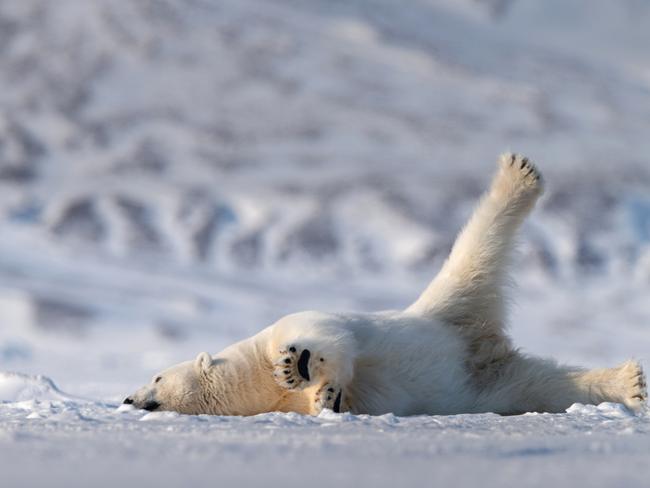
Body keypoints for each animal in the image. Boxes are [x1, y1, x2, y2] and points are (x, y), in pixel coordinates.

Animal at [124, 155, 644, 416]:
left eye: (157, 377)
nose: (129, 399)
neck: (252, 380)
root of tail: (477, 344)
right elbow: (332, 402)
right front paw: (326, 398)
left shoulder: (285, 327)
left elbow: (327, 338)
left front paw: (299, 366)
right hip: (486, 377)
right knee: (542, 386)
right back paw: (630, 383)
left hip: (446, 302)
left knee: (475, 248)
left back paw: (517, 175)